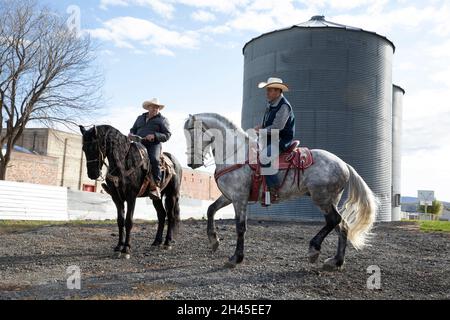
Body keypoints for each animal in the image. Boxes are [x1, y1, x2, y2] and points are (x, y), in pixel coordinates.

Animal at [79, 124, 183, 258]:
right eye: (84, 148)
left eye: (95, 147)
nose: (92, 174)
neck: (123, 163)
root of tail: (175, 163)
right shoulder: (117, 198)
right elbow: (120, 221)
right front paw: (119, 247)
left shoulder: (131, 196)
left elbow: (128, 221)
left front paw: (126, 249)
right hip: (156, 197)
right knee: (161, 215)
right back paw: (156, 242)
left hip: (172, 195)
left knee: (170, 216)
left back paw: (167, 242)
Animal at [184, 112, 380, 270]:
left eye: (193, 132)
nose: (191, 163)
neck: (235, 154)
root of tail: (344, 164)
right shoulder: (229, 196)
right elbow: (211, 209)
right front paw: (214, 241)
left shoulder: (239, 198)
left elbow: (240, 227)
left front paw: (236, 258)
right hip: (331, 200)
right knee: (342, 226)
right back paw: (336, 261)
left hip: (322, 198)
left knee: (334, 221)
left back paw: (314, 250)